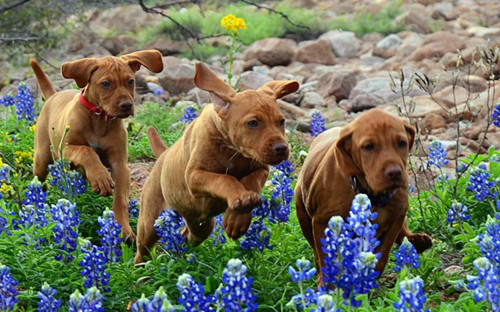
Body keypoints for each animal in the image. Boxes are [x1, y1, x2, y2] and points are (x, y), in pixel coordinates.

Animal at [29, 50, 164, 241]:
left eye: (131, 81)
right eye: (105, 84)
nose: (126, 105)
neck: (100, 119)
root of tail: (54, 95)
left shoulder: (119, 164)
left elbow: (120, 200)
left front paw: (123, 230)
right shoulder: (65, 149)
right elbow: (87, 151)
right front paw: (101, 178)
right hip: (42, 157)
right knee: (41, 178)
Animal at [135, 62, 298, 264]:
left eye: (281, 121)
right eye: (253, 123)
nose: (282, 148)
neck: (232, 151)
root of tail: (163, 155)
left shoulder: (261, 167)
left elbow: (250, 181)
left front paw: (238, 218)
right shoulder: (194, 176)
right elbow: (224, 179)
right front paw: (240, 199)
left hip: (201, 224)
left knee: (188, 235)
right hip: (150, 222)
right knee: (143, 249)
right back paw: (142, 270)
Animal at [294, 108, 432, 286]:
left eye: (402, 143)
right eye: (368, 146)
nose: (395, 172)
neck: (371, 194)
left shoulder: (396, 217)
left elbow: (382, 255)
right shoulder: (322, 223)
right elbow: (325, 259)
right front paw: (328, 286)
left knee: (403, 233)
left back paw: (416, 240)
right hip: (302, 212)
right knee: (317, 255)